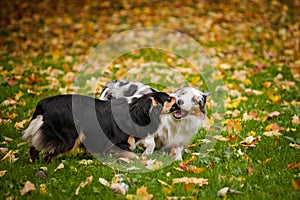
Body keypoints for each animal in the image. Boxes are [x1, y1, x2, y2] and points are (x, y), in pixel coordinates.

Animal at [24, 92, 178, 162]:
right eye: (168, 98)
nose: (176, 97)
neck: (137, 111)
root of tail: (43, 104)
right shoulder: (116, 143)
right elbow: (133, 154)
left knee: (34, 147)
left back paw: (35, 162)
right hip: (69, 139)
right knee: (48, 153)